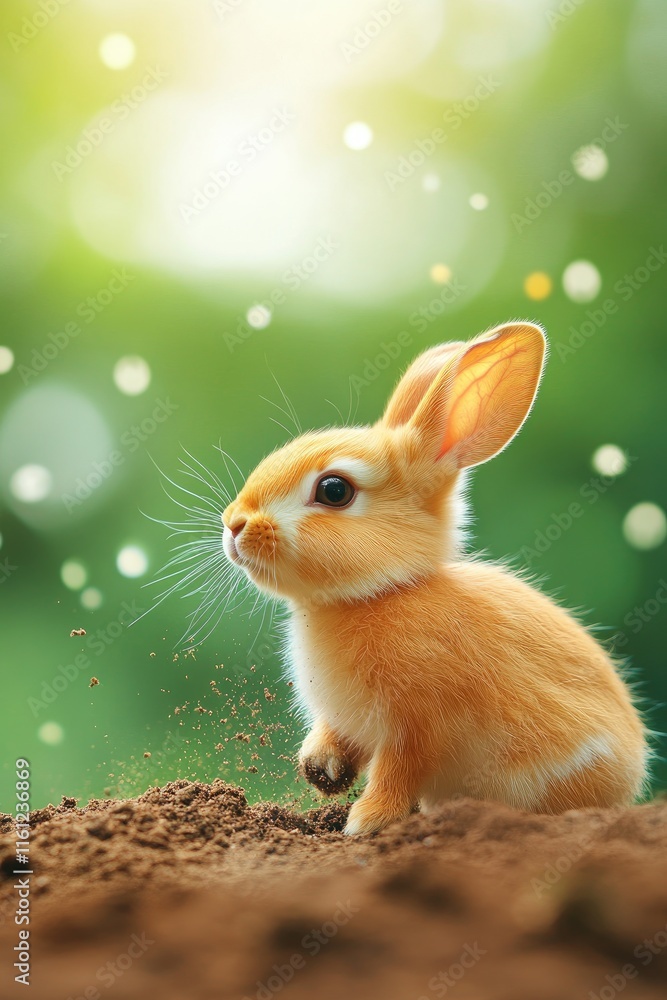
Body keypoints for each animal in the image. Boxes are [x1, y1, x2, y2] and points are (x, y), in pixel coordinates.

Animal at [221, 321, 649, 835]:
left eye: (334, 490)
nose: (234, 524)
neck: (381, 594)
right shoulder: (351, 721)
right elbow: (337, 739)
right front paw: (320, 770)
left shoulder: (417, 728)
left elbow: (396, 771)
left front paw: (365, 823)